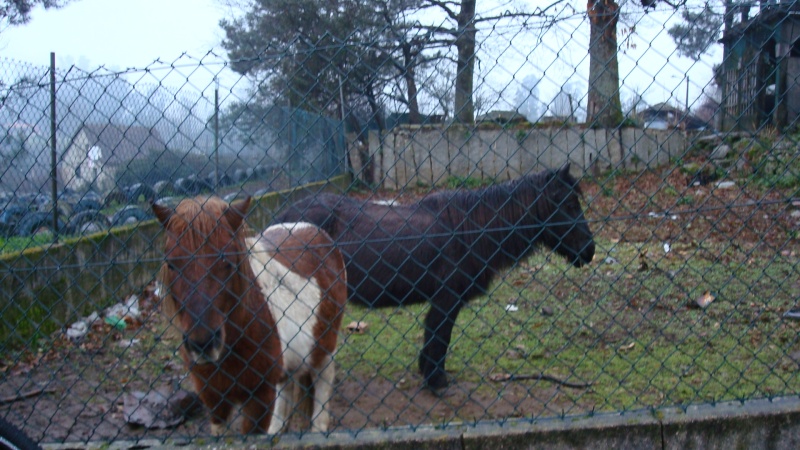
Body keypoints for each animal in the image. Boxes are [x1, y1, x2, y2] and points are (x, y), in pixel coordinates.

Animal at [155, 196, 346, 432]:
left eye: (227, 261)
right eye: (171, 264)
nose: (203, 344)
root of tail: (312, 230)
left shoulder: (259, 398)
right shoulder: (213, 399)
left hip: (325, 353)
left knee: (321, 397)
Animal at [276, 164, 592, 390]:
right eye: (569, 204)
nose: (590, 250)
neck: (471, 229)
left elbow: (435, 338)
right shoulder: (447, 299)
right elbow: (440, 337)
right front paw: (436, 381)